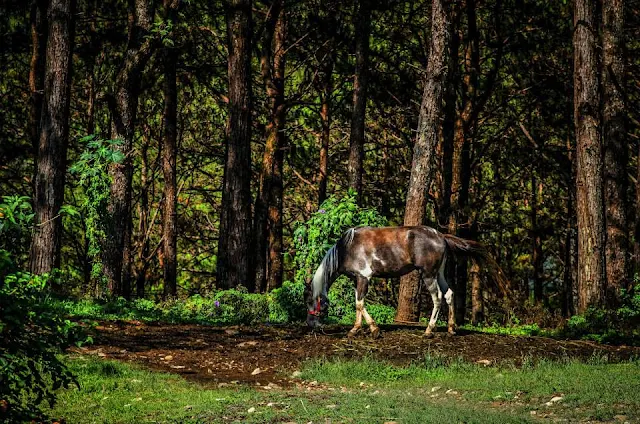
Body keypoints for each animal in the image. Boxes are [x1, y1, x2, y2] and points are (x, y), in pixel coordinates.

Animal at [304, 225, 510, 338]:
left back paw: (429, 330)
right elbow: (359, 305)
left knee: (437, 298)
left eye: (309, 300)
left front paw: (370, 330)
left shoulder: (364, 278)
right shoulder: (358, 280)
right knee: (449, 294)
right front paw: (359, 329)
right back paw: (451, 329)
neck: (347, 249)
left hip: (428, 275)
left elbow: (359, 304)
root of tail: (441, 236)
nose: (310, 324)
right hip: (439, 273)